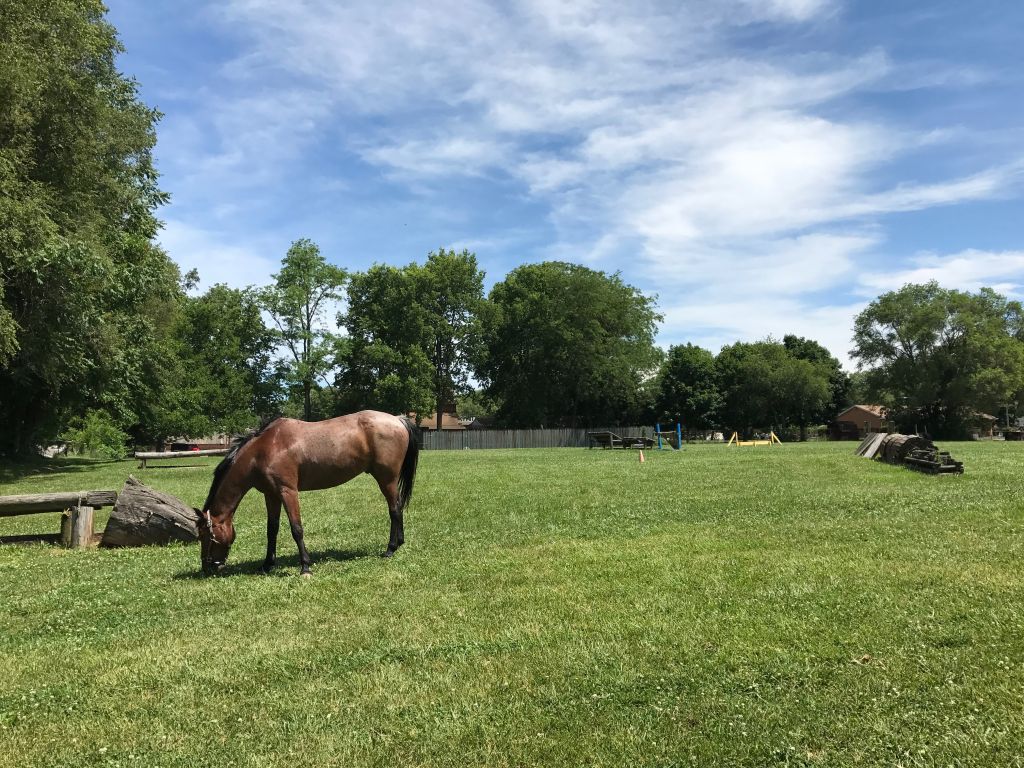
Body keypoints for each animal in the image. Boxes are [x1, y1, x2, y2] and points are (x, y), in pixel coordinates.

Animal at [195, 411, 419, 573]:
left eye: (205, 535)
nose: (207, 567)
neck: (263, 450)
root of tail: (398, 419)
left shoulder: (288, 491)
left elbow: (296, 529)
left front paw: (305, 566)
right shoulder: (271, 495)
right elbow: (271, 530)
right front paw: (267, 564)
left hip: (387, 479)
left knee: (394, 510)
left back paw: (390, 549)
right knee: (397, 508)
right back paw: (399, 543)